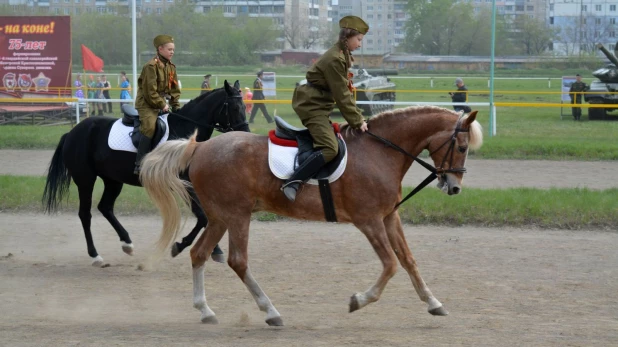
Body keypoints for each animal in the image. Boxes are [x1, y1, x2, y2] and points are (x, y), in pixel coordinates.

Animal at [41, 80, 249, 268]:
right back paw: (95, 256)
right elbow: (202, 216)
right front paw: (180, 245)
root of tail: (73, 132)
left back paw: (126, 243)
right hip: (85, 180)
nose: (246, 133)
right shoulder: (181, 184)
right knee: (85, 214)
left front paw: (215, 250)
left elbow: (207, 217)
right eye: (235, 107)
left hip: (113, 180)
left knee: (105, 207)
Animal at [140, 106, 482, 326]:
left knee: (199, 253)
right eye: (462, 146)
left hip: (220, 217)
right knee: (238, 261)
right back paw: (270, 311)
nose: (454, 187)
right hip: (236, 216)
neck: (379, 152)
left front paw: (434, 303)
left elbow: (408, 261)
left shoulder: (388, 218)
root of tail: (200, 148)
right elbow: (390, 265)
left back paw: (205, 310)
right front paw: (359, 300)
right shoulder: (369, 221)